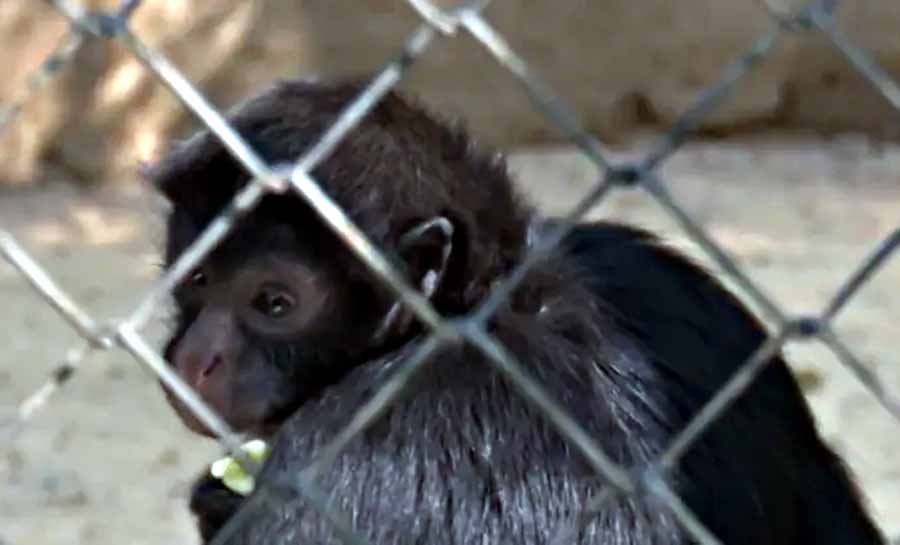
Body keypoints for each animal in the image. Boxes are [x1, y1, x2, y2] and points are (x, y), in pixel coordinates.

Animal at [144, 77, 884, 544]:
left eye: (274, 302)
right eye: (199, 277)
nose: (194, 357)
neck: (491, 307)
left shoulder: (359, 437)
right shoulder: (654, 284)